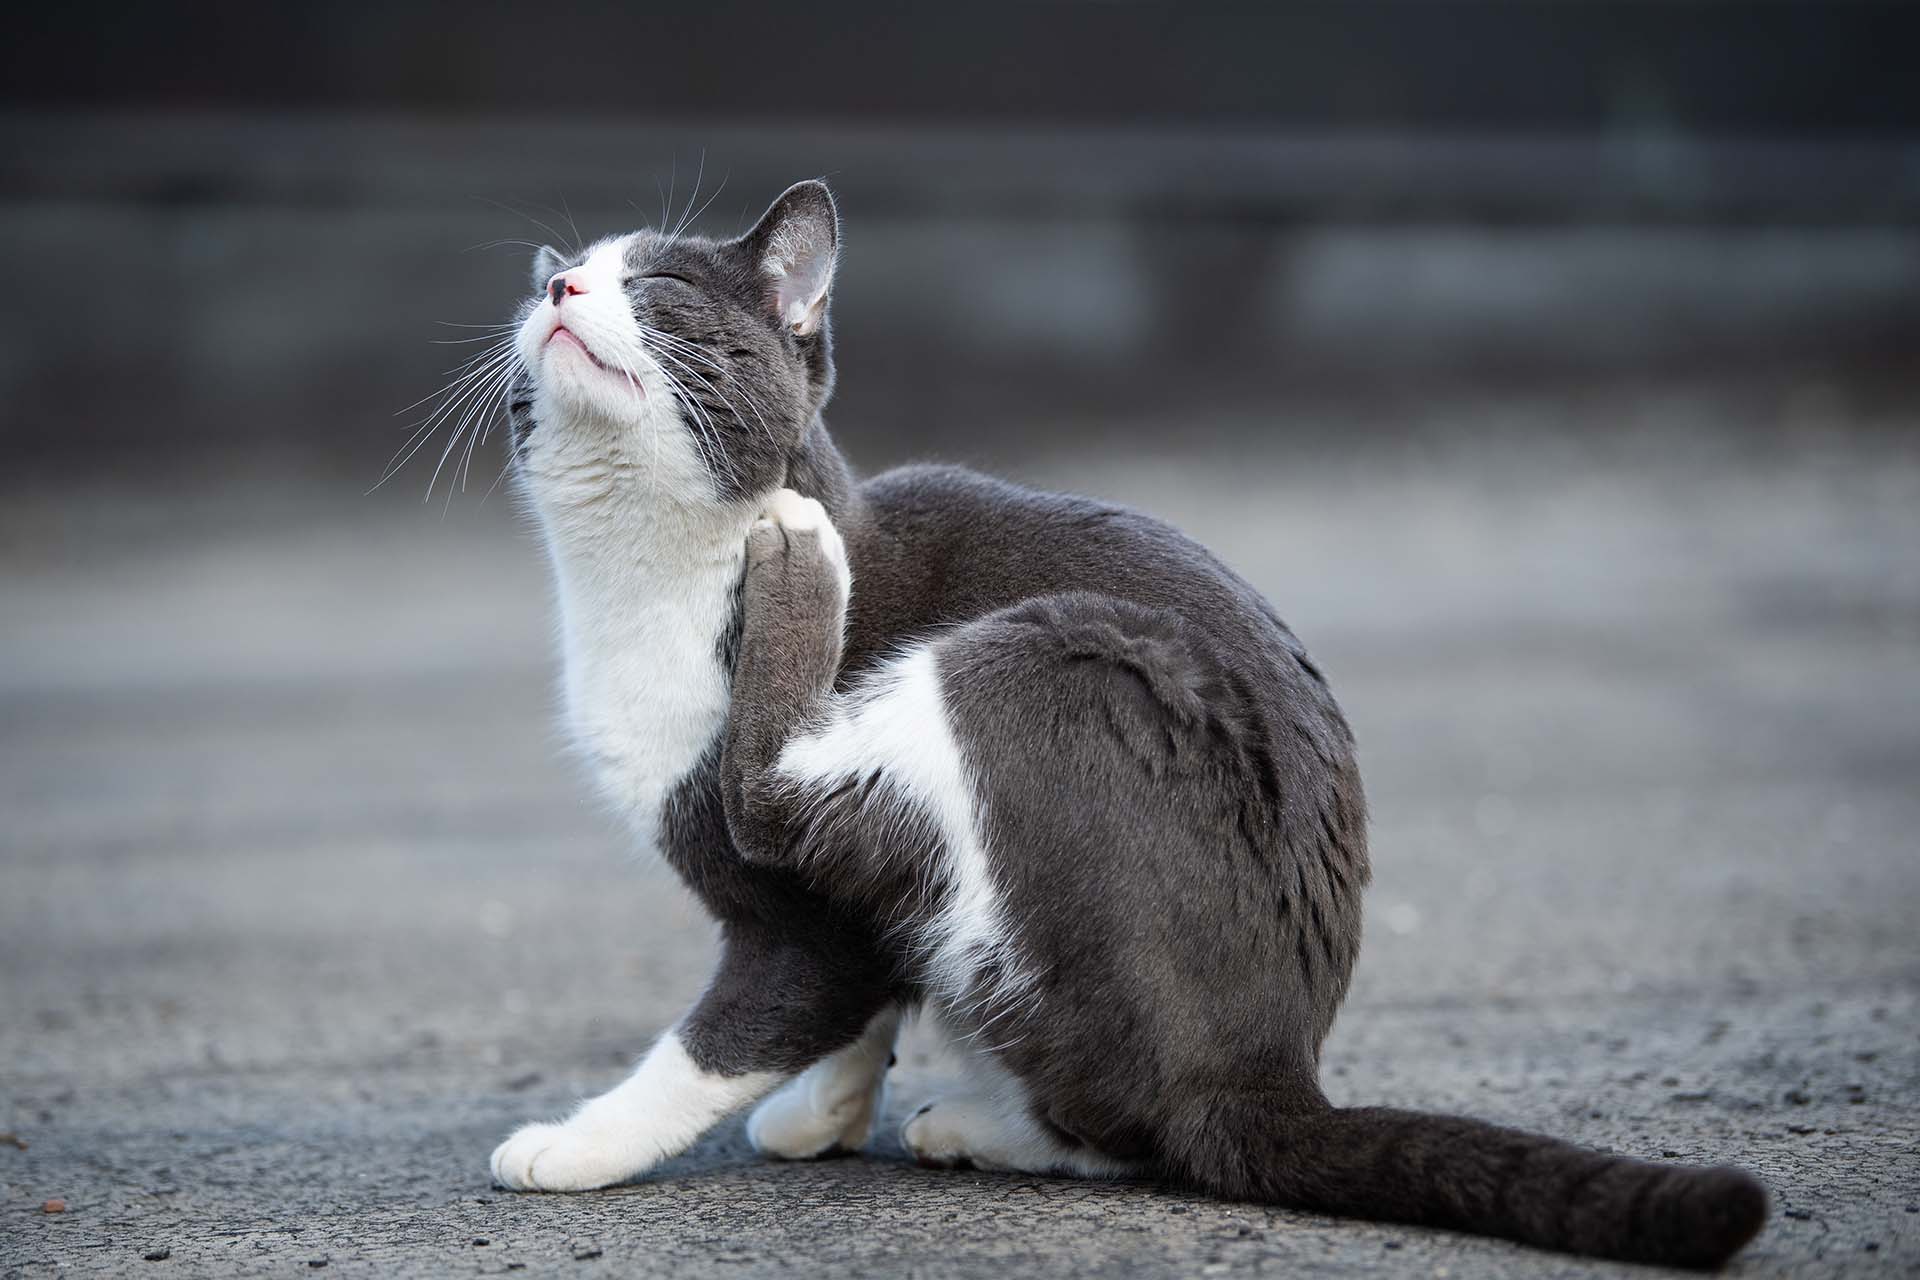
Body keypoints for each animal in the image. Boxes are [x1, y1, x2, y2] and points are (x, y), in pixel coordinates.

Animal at [472, 180, 1758, 1274]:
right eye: (554, 281)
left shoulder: (793, 920)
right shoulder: (850, 929)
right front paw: (827, 1107)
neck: (645, 586)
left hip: (1056, 656)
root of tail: (1272, 1068)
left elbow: (735, 1025)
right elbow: (858, 990)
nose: (559, 288)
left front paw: (578, 1142)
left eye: (657, 286)